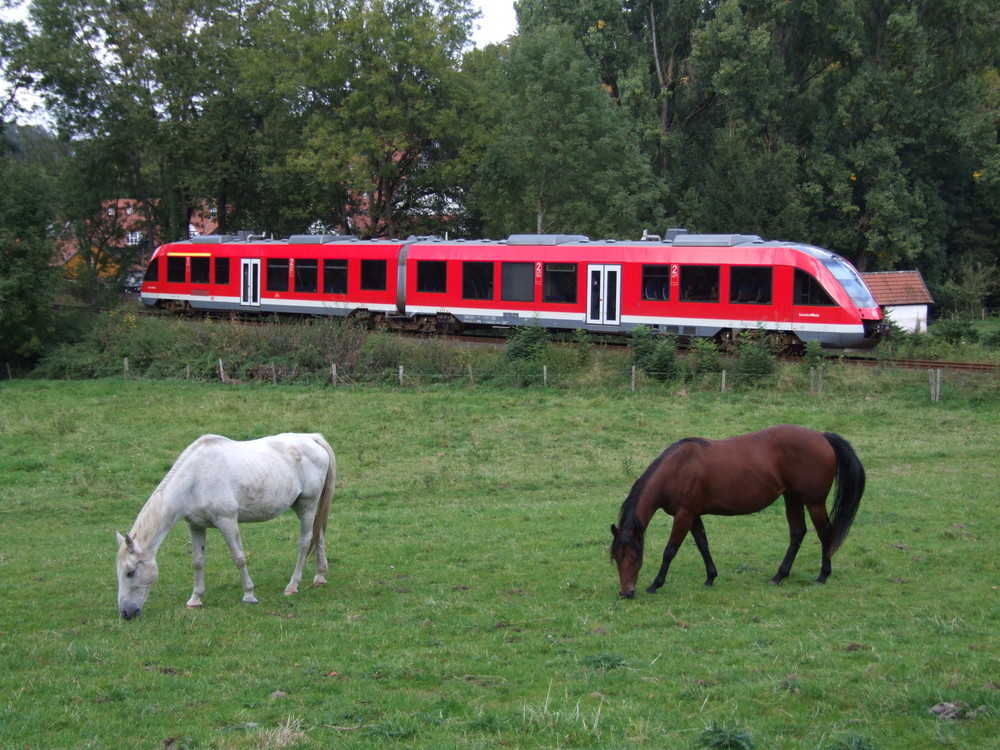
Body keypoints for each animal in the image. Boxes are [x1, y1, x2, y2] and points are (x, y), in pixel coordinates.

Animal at [115, 432, 336, 620]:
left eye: (130, 572)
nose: (126, 613)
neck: (195, 478)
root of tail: (312, 438)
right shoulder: (195, 526)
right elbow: (198, 561)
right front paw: (195, 599)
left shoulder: (227, 521)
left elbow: (238, 558)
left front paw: (249, 594)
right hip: (299, 506)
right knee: (318, 535)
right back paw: (320, 576)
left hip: (307, 504)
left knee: (305, 541)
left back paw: (292, 585)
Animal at [608, 426, 868, 604]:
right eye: (616, 558)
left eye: (635, 556)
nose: (626, 592)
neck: (677, 469)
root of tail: (822, 436)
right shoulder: (693, 515)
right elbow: (703, 544)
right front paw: (710, 577)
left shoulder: (684, 515)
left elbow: (670, 551)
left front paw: (655, 584)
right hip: (792, 498)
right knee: (797, 533)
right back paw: (779, 576)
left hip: (813, 502)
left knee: (825, 533)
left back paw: (822, 576)